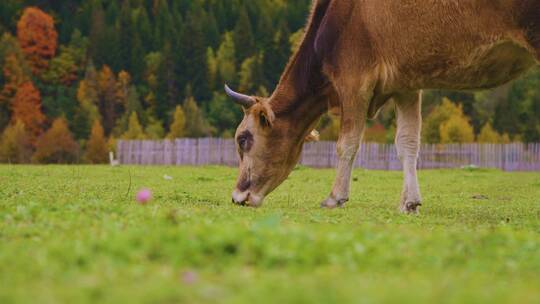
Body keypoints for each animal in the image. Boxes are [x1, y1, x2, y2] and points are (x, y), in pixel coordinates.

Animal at [225, 0, 540, 213]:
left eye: (243, 139)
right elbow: (407, 143)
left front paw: (335, 197)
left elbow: (347, 143)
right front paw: (409, 202)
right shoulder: (406, 84)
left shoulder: (354, 79)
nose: (237, 197)